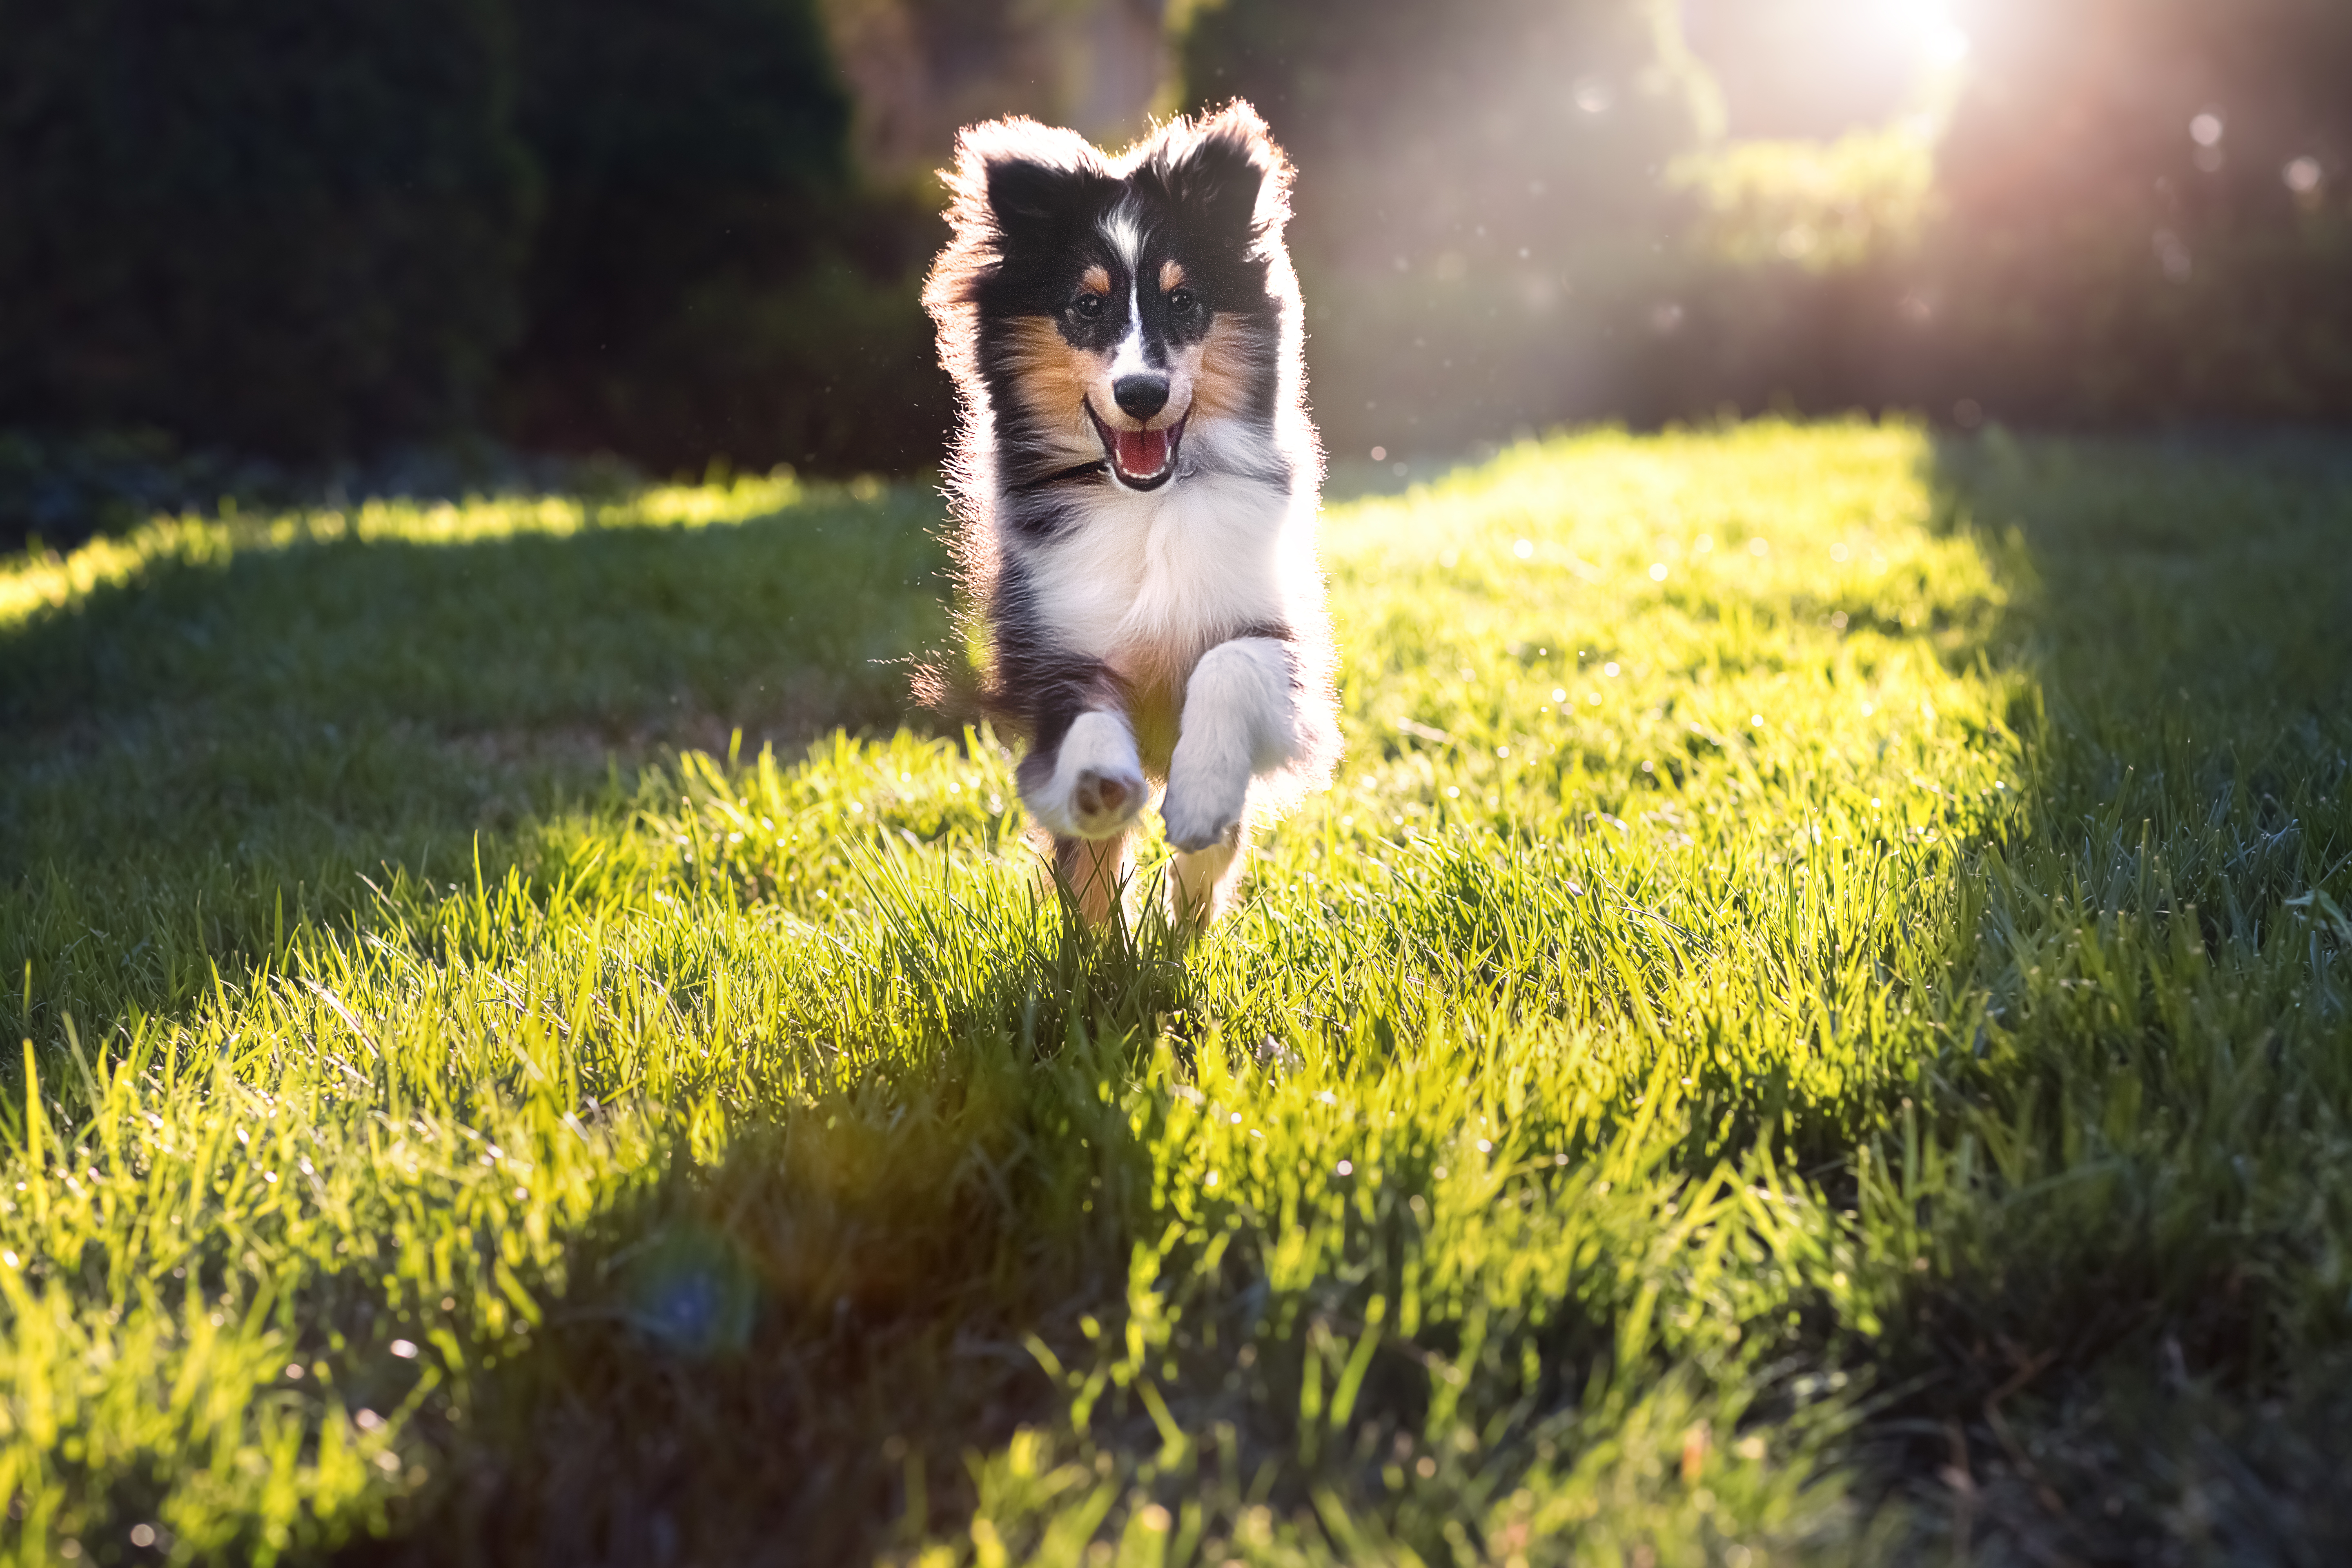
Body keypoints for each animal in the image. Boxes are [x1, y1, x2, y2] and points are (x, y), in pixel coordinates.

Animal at [927, 107, 1354, 931]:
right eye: (1087, 305)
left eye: (1182, 301)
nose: (1143, 394)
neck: (1147, 503)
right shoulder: (1049, 648)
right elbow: (1087, 719)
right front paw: (1099, 784)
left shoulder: (1279, 638)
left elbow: (1229, 663)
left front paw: (1201, 798)